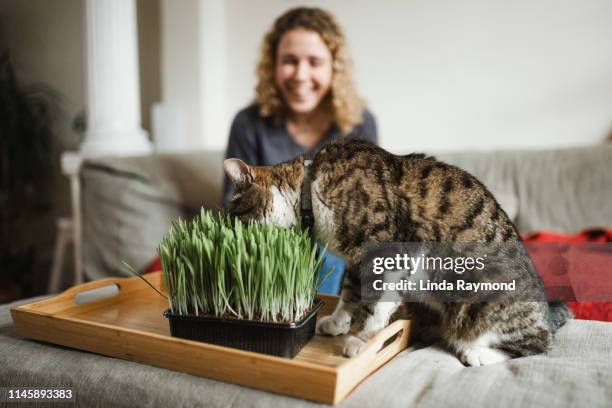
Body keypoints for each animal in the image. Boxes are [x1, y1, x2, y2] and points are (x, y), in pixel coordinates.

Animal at [224, 138, 568, 366]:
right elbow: (350, 294)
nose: (230, 230)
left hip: (478, 302)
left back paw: (477, 353)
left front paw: (363, 341)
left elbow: (377, 305)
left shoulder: (393, 248)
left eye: (235, 214)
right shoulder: (356, 261)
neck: (311, 188)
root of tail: (546, 313)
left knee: (536, 343)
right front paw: (337, 323)